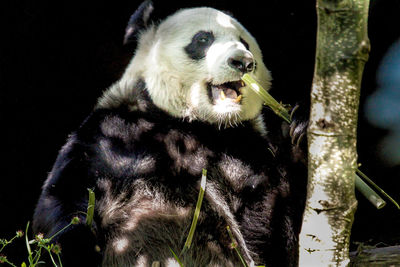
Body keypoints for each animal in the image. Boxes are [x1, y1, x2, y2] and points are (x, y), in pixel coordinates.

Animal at [32, 1, 308, 266]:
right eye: (203, 39)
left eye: (244, 42)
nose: (243, 62)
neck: (196, 125)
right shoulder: (113, 135)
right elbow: (64, 197)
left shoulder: (246, 154)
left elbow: (268, 235)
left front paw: (296, 136)